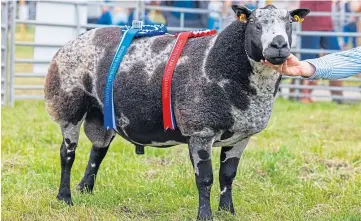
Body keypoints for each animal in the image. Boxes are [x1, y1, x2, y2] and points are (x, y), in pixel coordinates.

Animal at [44, 4, 310, 219]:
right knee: (67, 154)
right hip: (69, 104)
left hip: (103, 115)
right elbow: (205, 178)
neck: (221, 63)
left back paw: (85, 190)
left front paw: (228, 212)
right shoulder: (200, 130)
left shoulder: (240, 136)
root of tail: (74, 41)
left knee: (97, 151)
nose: (278, 45)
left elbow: (228, 176)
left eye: (289, 23)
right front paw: (205, 215)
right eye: (255, 23)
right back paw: (65, 197)